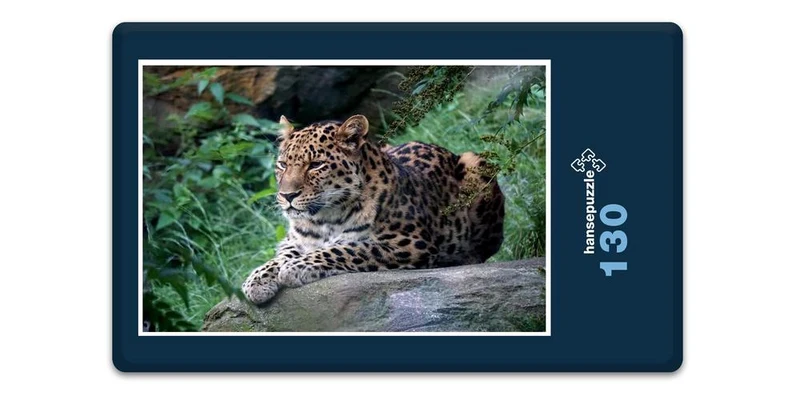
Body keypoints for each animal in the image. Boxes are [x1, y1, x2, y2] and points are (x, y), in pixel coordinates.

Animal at [242, 114, 505, 304]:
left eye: (316, 165)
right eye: (282, 164)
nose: (287, 195)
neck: (324, 218)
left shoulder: (409, 243)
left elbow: (347, 249)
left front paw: (297, 267)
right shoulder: (293, 240)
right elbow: (279, 257)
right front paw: (256, 280)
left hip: (476, 163)